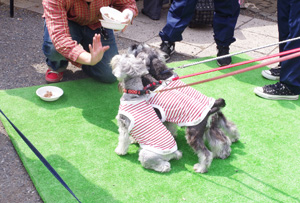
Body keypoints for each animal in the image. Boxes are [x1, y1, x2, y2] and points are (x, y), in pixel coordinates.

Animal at [127, 44, 240, 173]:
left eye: (136, 49)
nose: (132, 45)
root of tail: (212, 108)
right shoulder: (168, 117)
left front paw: (134, 139)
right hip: (212, 127)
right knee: (224, 136)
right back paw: (227, 149)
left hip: (193, 135)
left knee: (206, 153)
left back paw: (201, 167)